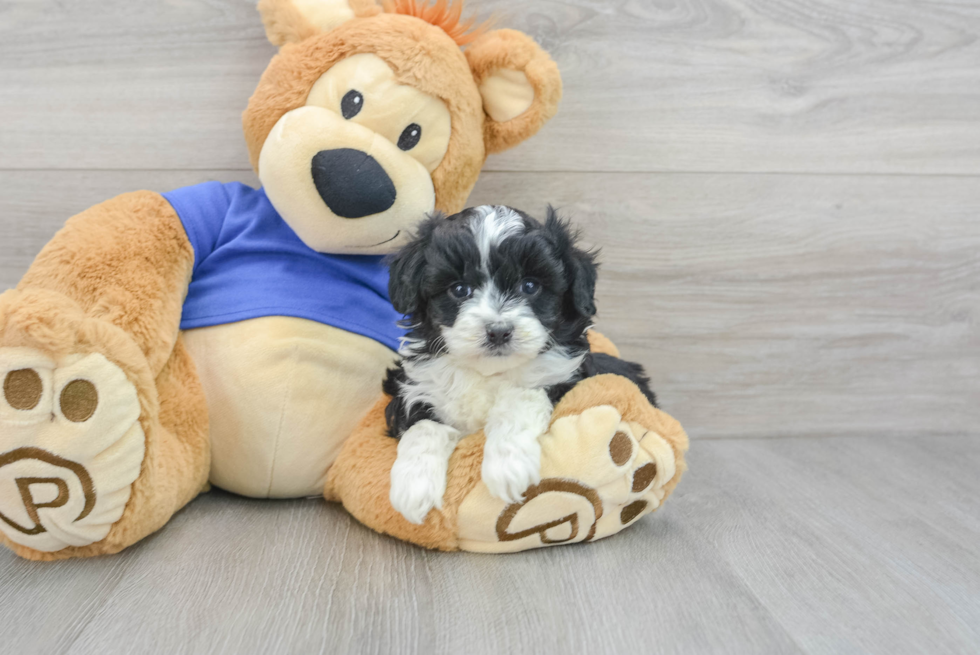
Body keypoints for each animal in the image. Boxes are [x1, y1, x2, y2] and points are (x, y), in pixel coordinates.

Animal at [386, 205, 656, 524]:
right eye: (460, 289)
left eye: (530, 286)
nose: (498, 331)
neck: (489, 371)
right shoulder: (415, 388)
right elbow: (424, 427)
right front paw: (413, 486)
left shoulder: (562, 379)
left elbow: (521, 397)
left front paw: (507, 465)